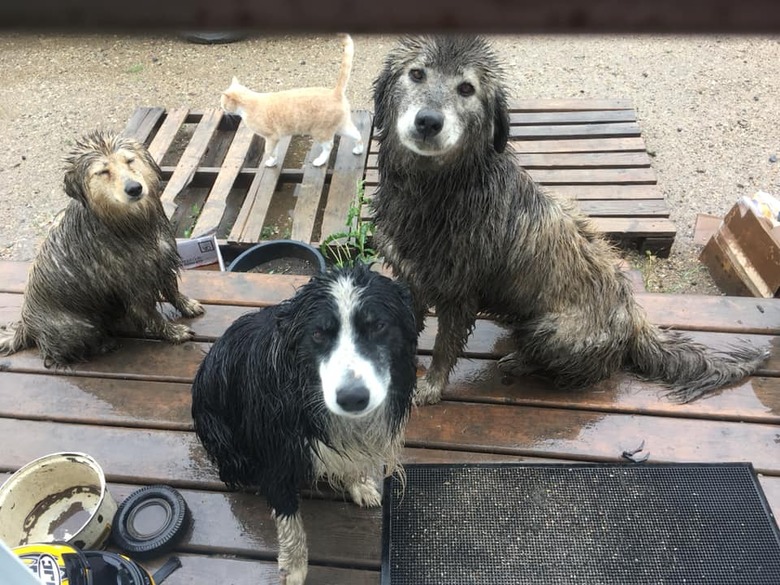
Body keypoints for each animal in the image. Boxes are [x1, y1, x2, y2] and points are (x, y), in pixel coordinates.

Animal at [0, 131, 204, 364]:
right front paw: (174, 333)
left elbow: (172, 290)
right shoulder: (135, 286)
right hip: (78, 328)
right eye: (103, 171)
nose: (134, 188)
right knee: (68, 351)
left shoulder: (161, 261)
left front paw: (187, 305)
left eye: (129, 160)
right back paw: (104, 345)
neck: (131, 224)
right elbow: (152, 315)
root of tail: (27, 327)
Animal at [191, 264, 418, 584]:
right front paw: (294, 567)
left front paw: (358, 483)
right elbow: (289, 517)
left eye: (378, 326)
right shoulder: (275, 454)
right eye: (318, 334)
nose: (352, 399)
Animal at [219, 33, 366, 167]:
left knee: (329, 145)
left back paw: (320, 161)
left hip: (320, 132)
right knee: (357, 134)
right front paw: (274, 161)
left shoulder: (271, 137)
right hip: (341, 126)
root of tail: (335, 93)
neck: (247, 105)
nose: (223, 110)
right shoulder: (275, 138)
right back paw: (359, 149)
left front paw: (271, 161)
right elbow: (275, 151)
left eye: (222, 104)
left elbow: (269, 151)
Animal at [372, 34, 768, 404]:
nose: (428, 121)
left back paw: (521, 361)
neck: (435, 191)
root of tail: (633, 318)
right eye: (416, 74)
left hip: (551, 330)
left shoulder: (459, 294)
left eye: (466, 88)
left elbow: (444, 347)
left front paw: (430, 387)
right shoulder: (411, 275)